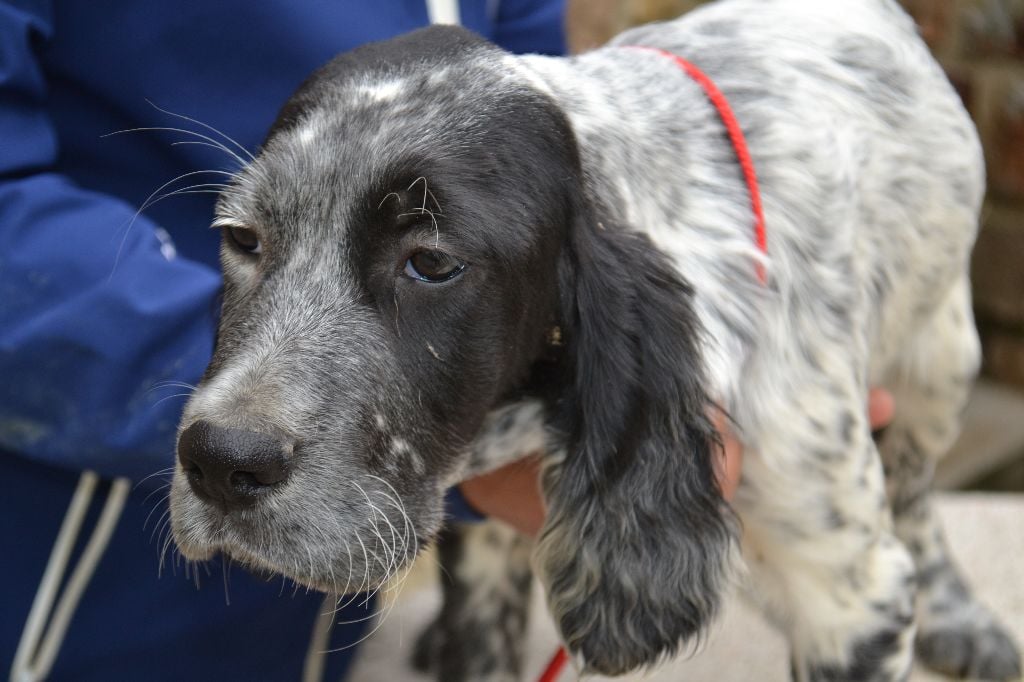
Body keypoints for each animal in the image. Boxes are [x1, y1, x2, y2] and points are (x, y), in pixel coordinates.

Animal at [169, 0, 1022, 679]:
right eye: (243, 238)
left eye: (432, 263)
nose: (220, 461)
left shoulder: (852, 593)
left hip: (940, 358)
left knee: (915, 487)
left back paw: (960, 618)